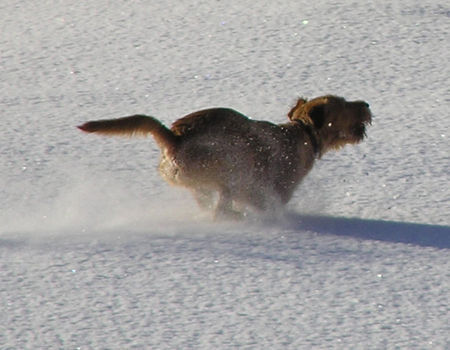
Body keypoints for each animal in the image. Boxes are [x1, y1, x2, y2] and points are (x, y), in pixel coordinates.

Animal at [78, 93, 372, 219]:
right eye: (344, 105)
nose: (366, 105)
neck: (302, 133)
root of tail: (174, 138)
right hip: (229, 167)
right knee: (221, 207)